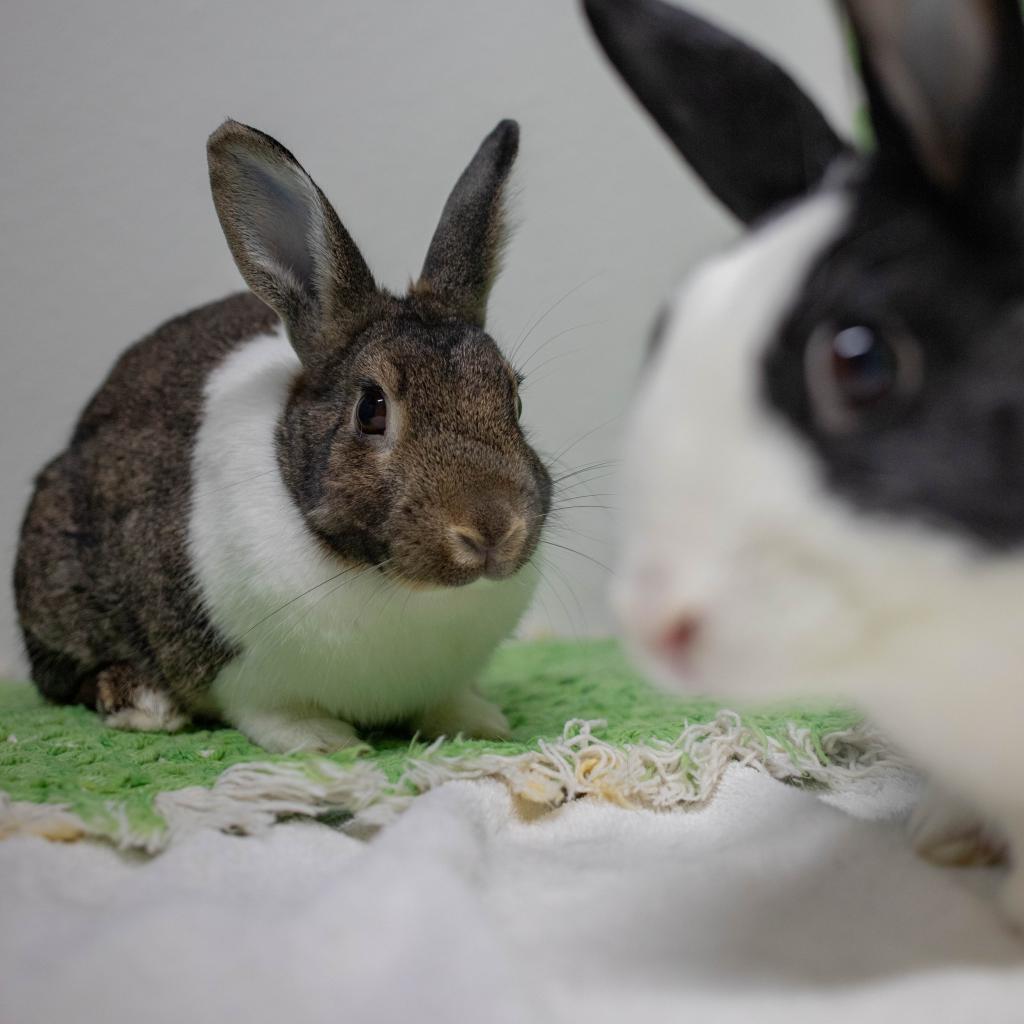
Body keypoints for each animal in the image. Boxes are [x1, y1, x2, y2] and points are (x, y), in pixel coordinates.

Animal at [14, 117, 551, 754]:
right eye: (371, 409)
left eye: (515, 399)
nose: (492, 530)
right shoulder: (247, 679)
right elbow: (275, 713)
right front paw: (327, 743)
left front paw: (480, 723)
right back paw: (144, 704)